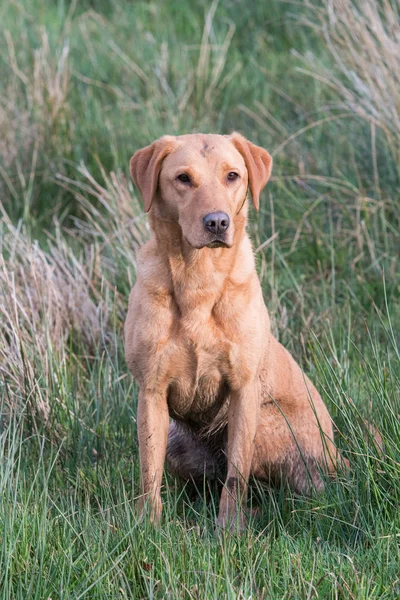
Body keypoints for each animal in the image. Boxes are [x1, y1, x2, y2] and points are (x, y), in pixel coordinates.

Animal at [125, 132, 344, 528]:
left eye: (232, 176)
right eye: (183, 178)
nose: (217, 222)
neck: (200, 277)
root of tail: (338, 457)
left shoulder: (243, 392)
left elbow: (236, 474)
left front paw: (229, 529)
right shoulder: (151, 391)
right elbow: (149, 471)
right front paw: (146, 525)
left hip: (269, 423)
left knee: (287, 489)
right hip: (177, 439)